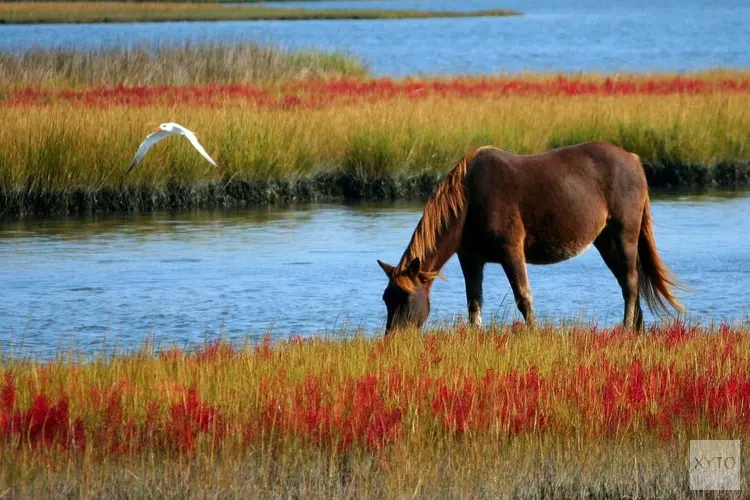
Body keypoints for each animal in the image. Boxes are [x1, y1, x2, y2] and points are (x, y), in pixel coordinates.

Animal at [378, 143, 684, 334]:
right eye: (386, 299)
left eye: (404, 298)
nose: (393, 338)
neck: (469, 200)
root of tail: (633, 159)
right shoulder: (471, 259)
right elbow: (474, 302)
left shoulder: (511, 251)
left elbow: (523, 296)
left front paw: (534, 332)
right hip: (605, 241)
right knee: (626, 282)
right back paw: (636, 328)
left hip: (624, 233)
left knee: (631, 282)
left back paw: (626, 328)